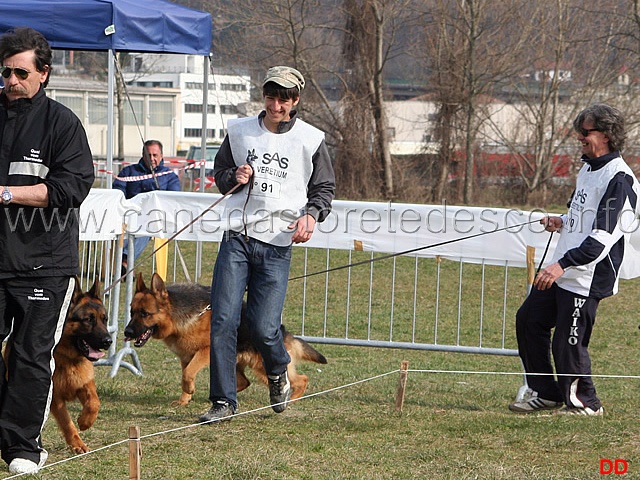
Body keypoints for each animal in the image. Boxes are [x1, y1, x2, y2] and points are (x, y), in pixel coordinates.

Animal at [123, 274, 328, 404]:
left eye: (145, 314)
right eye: (132, 312)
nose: (126, 332)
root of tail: (283, 332)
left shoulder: (203, 352)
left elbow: (188, 374)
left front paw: (189, 391)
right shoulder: (186, 358)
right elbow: (185, 376)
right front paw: (184, 399)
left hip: (264, 367)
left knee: (301, 380)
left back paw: (291, 399)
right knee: (244, 382)